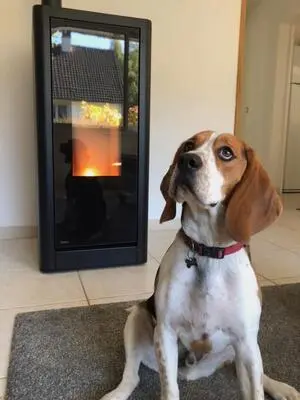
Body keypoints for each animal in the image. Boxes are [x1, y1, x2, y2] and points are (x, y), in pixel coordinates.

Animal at [101, 132, 300, 400]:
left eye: (226, 152)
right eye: (188, 145)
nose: (187, 160)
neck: (209, 251)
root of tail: (192, 370)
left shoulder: (246, 340)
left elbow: (256, 387)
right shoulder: (165, 332)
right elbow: (169, 389)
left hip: (243, 349)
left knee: (256, 372)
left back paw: (281, 387)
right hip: (137, 319)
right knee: (132, 375)